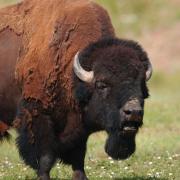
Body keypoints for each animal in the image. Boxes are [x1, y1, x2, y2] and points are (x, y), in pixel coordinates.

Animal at [0, 0, 153, 180]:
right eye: (101, 84)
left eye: (142, 86)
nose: (133, 112)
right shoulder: (37, 116)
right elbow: (45, 158)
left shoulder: (80, 128)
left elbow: (78, 158)